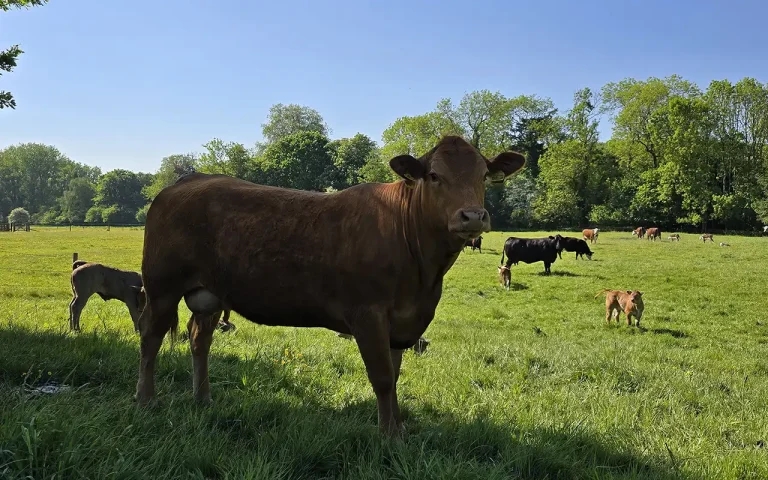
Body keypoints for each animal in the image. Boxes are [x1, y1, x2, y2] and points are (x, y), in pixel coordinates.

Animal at [133, 135, 526, 437]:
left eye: (484, 175)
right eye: (433, 175)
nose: (472, 216)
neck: (423, 274)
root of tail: (186, 182)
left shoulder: (403, 320)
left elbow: (395, 375)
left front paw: (398, 427)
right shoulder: (368, 314)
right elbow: (383, 377)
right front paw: (389, 438)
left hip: (210, 294)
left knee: (199, 339)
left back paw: (203, 399)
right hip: (162, 286)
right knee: (150, 336)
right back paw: (146, 400)